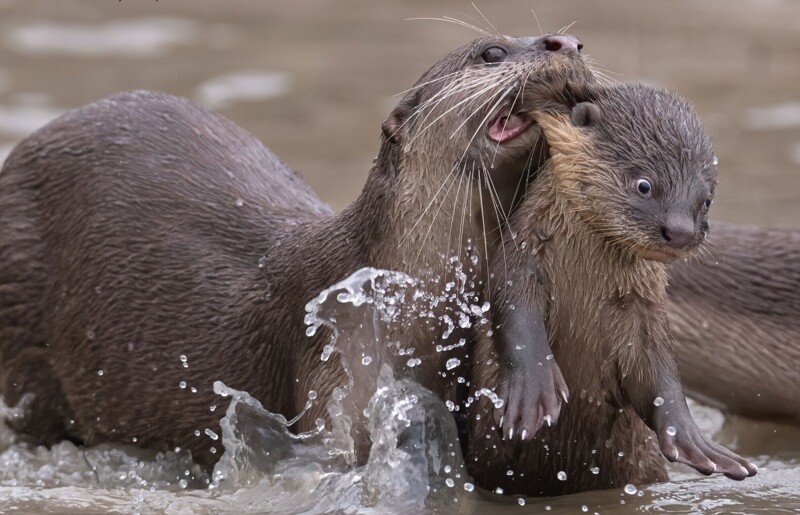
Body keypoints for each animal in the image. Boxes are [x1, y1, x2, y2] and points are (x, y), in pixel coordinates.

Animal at [462, 85, 756, 500]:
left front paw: (694, 441)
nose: (680, 232)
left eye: (706, 200)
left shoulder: (644, 309)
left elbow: (659, 372)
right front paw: (533, 393)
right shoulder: (520, 260)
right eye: (644, 184)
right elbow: (517, 318)